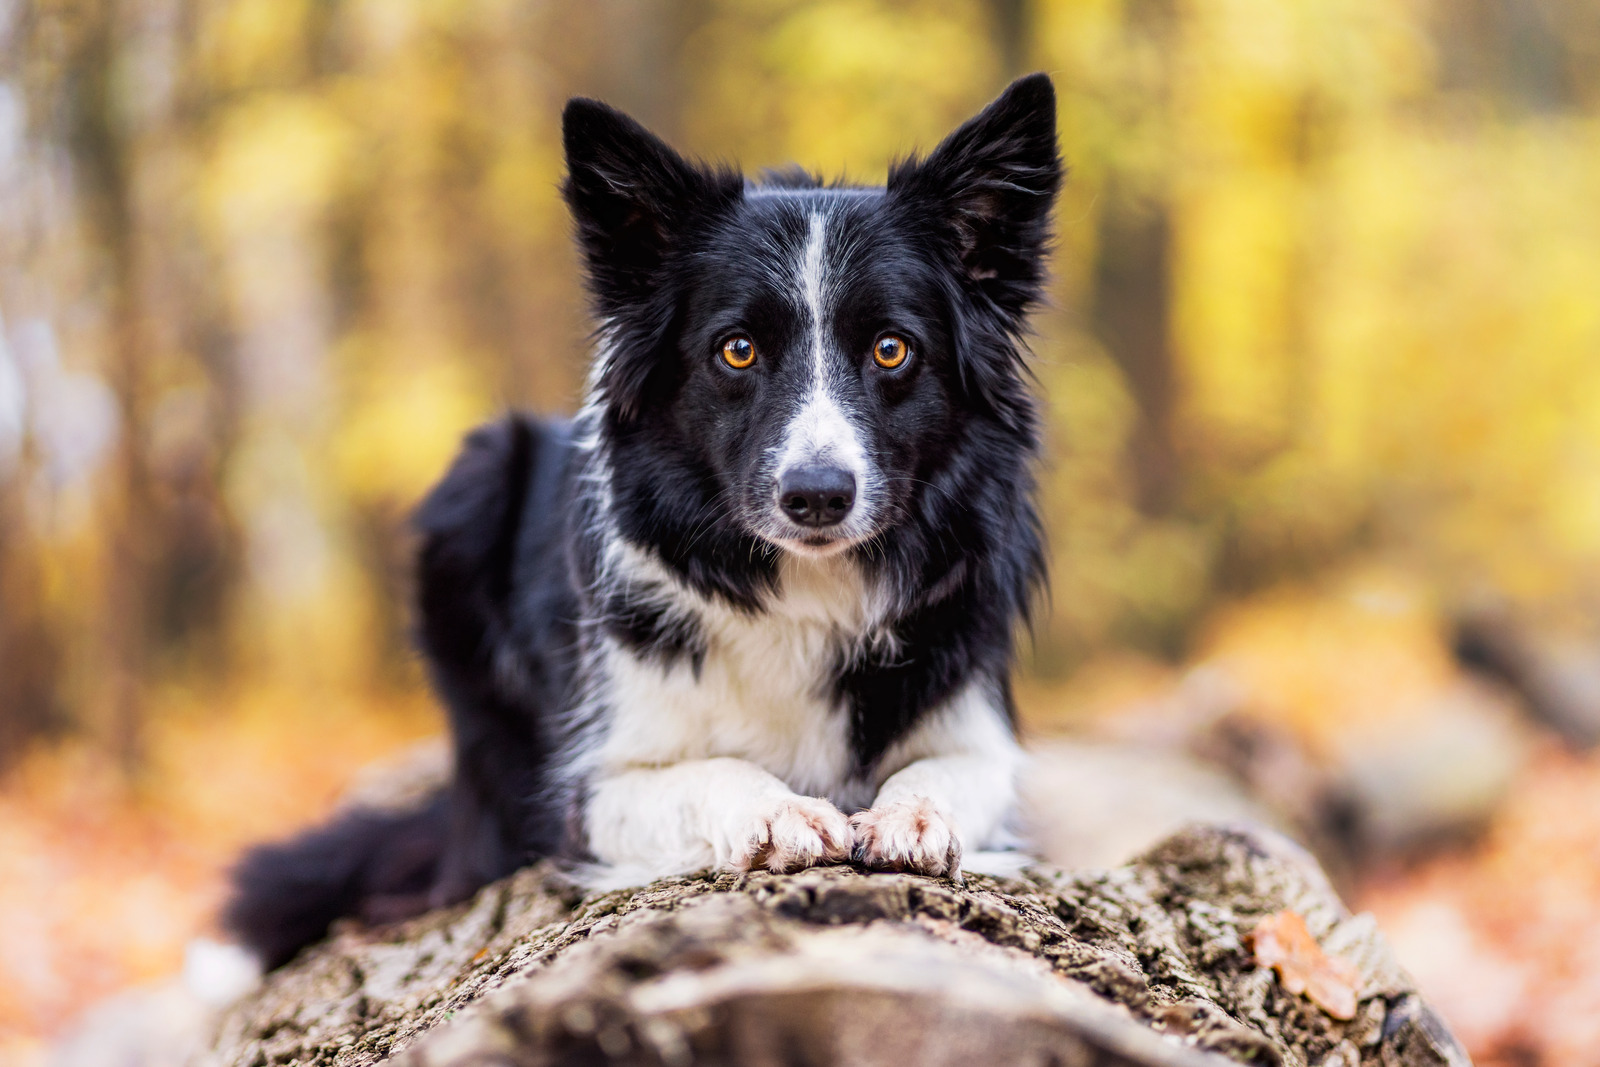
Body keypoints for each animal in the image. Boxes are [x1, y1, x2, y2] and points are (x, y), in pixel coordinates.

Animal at [225, 70, 1068, 972]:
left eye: (890, 349)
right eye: (737, 350)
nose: (816, 495)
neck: (806, 585)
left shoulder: (981, 732)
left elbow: (954, 773)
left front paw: (913, 812)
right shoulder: (593, 786)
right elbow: (704, 771)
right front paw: (775, 809)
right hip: (475, 484)